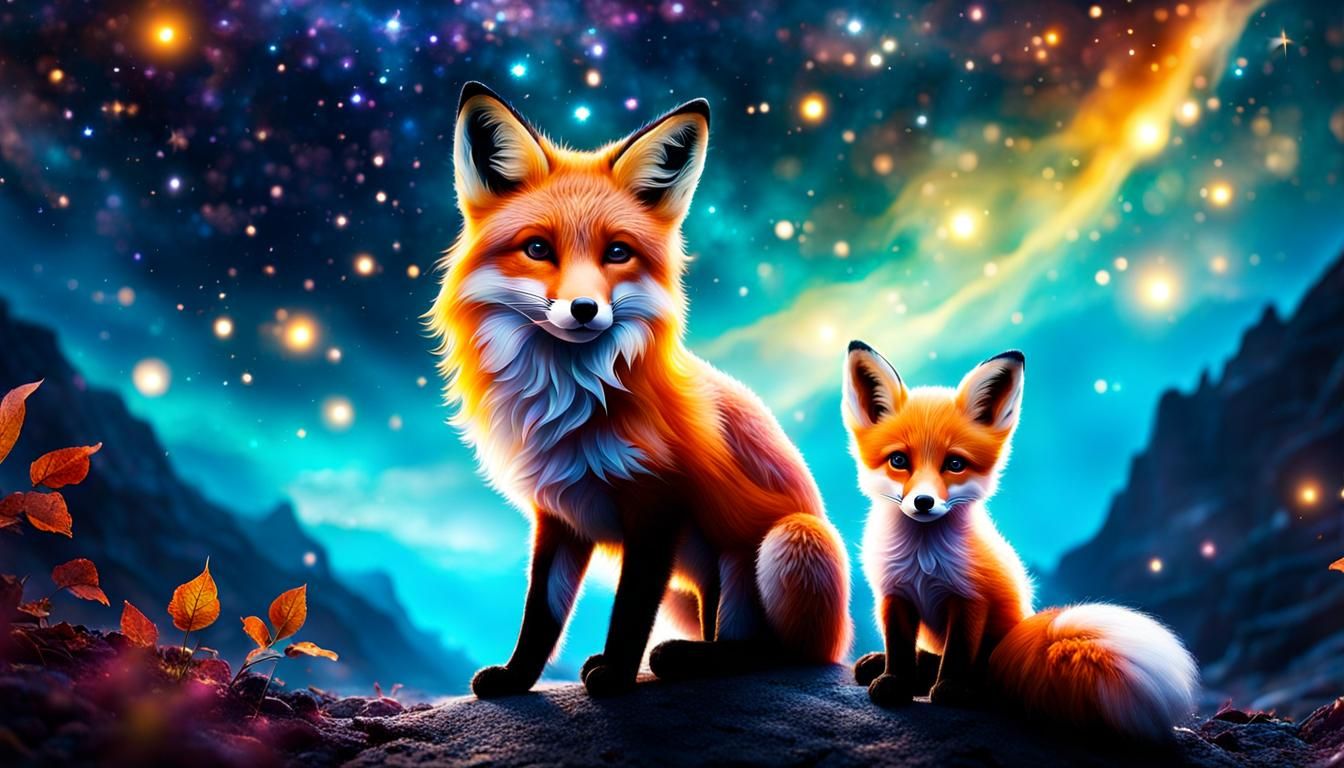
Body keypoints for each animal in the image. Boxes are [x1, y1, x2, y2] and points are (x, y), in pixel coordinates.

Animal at [427, 82, 851, 698]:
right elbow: (541, 613)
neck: (569, 404)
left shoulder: (659, 505)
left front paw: (616, 676)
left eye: (617, 252)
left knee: (779, 653)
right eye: (538, 249)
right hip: (694, 587)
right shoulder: (559, 513)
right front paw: (516, 678)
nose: (584, 309)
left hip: (785, 542)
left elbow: (629, 610)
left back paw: (690, 659)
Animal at [841, 340, 1198, 740]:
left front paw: (949, 689)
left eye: (954, 464)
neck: (924, 558)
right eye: (899, 461)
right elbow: (899, 646)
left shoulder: (971, 597)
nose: (923, 502)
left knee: (982, 677)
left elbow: (957, 653)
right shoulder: (894, 593)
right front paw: (895, 681)